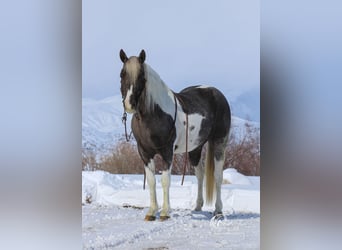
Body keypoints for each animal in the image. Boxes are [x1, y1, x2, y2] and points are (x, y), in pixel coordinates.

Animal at [119, 48, 231, 221]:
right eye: (122, 74)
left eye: (142, 76)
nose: (129, 104)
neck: (154, 114)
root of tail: (216, 93)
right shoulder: (144, 152)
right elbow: (151, 181)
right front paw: (151, 212)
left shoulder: (167, 152)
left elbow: (165, 180)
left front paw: (165, 212)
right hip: (195, 148)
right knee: (200, 174)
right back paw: (198, 206)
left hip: (219, 142)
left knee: (218, 176)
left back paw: (218, 211)